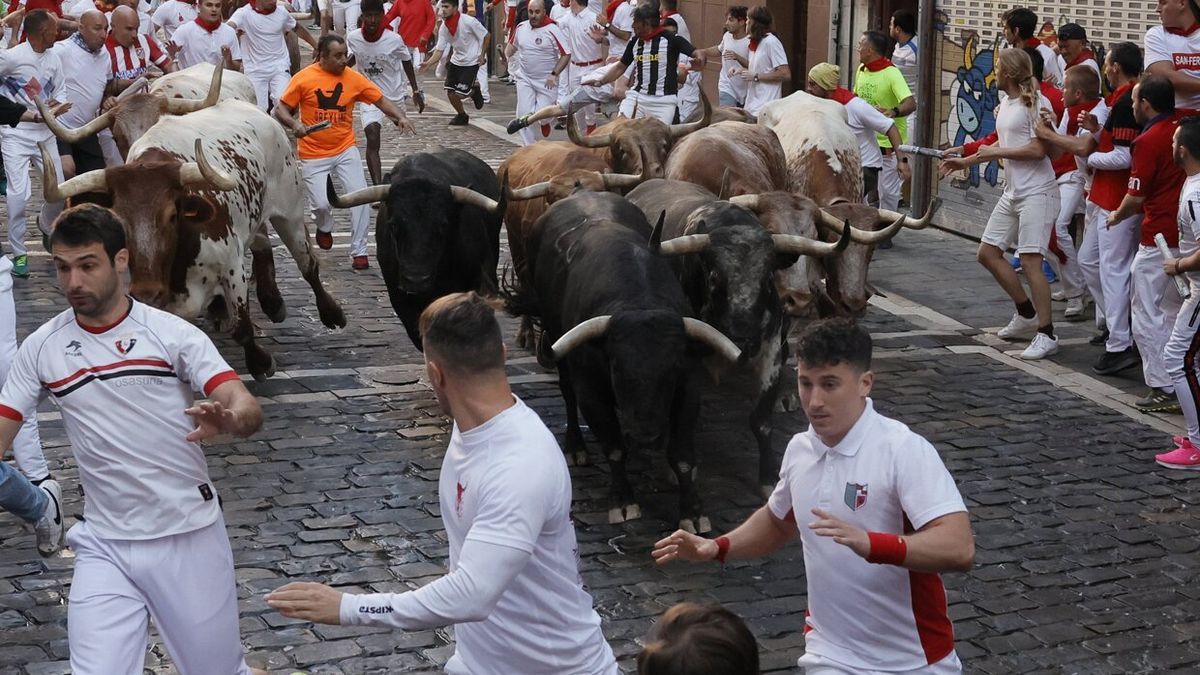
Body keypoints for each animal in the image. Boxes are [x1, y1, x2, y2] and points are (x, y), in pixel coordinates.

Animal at [41, 99, 343, 379]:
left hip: (290, 213)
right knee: (262, 243)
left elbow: (242, 327)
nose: (146, 291)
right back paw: (272, 302)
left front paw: (261, 363)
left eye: (172, 215)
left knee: (308, 265)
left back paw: (331, 314)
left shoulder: (232, 268)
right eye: (120, 219)